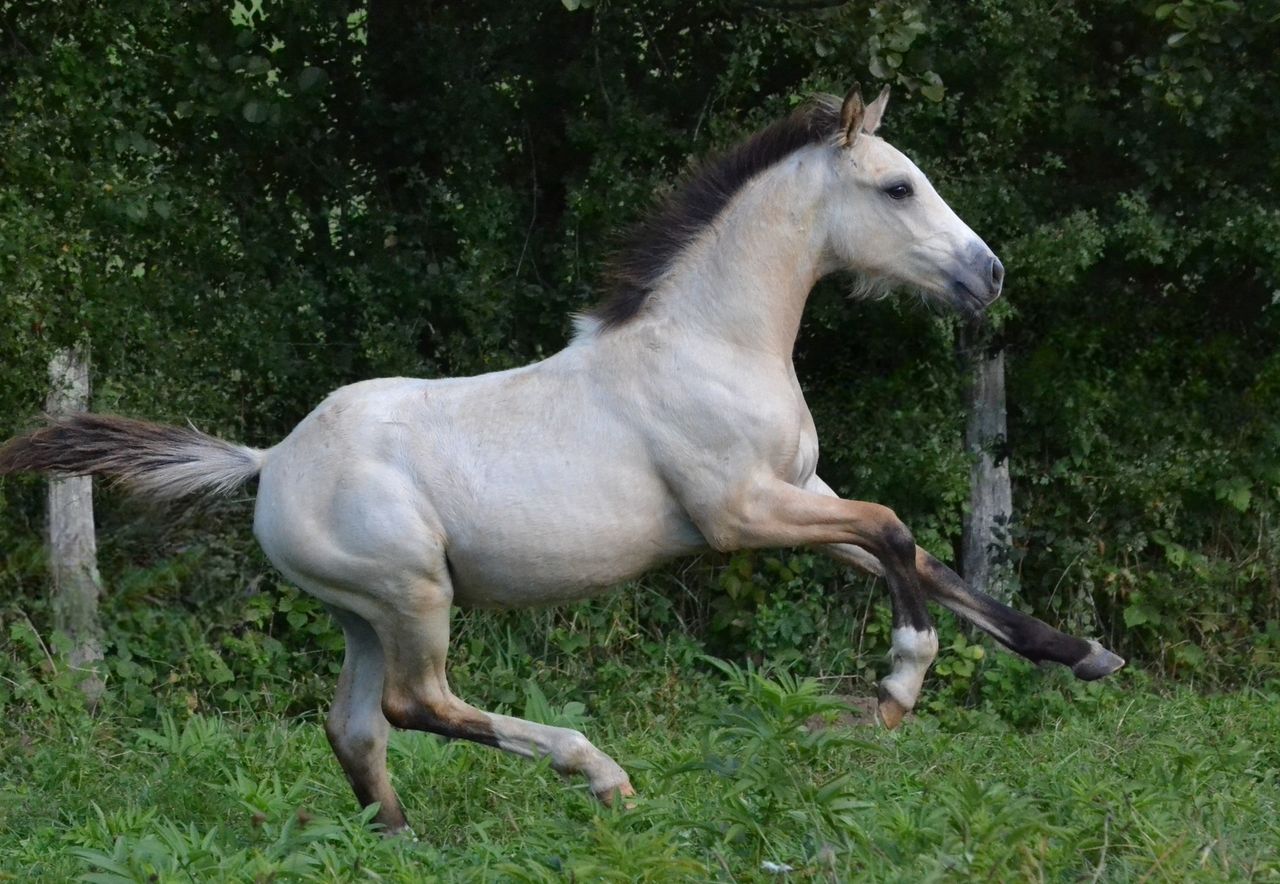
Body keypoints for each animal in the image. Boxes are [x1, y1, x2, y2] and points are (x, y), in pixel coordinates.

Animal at [0, 86, 1121, 834]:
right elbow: (894, 534)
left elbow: (922, 555)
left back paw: (401, 845)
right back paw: (600, 774)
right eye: (897, 186)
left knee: (356, 728)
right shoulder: (741, 514)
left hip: (361, 611)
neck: (713, 342)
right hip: (413, 595)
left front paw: (1083, 655)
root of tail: (268, 460)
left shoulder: (798, 492)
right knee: (415, 706)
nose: (987, 274)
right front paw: (890, 691)